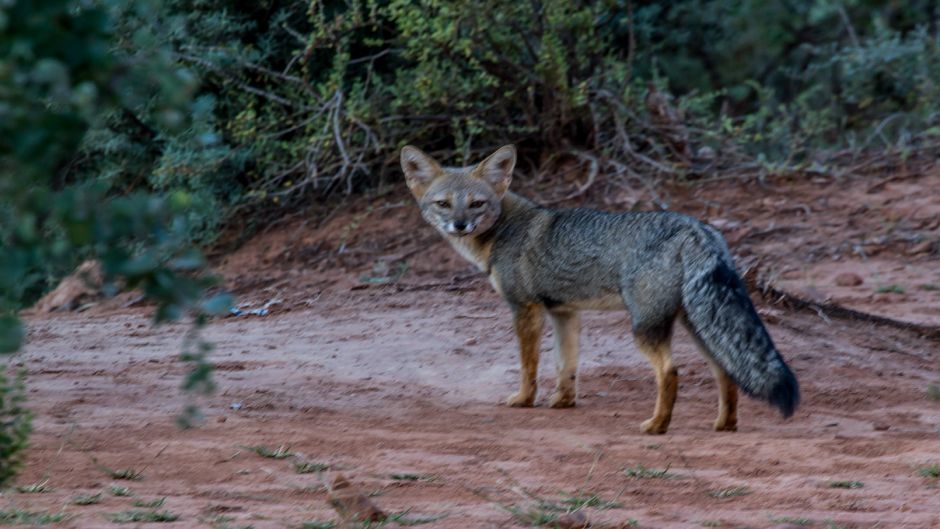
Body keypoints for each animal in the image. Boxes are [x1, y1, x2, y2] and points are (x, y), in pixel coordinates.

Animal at [400, 142, 796, 432]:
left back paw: (657, 425)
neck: (505, 229)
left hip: (645, 328)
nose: (459, 225)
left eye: (477, 204)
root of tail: (697, 229)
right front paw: (562, 402)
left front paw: (525, 399)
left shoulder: (525, 309)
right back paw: (724, 424)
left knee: (670, 372)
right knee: (725, 372)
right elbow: (566, 364)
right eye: (443, 204)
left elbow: (529, 365)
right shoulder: (564, 313)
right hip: (697, 326)